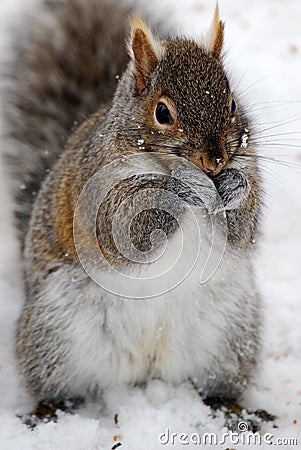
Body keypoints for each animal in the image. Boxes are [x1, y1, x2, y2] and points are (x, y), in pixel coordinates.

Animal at [1, 0, 262, 408]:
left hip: (231, 334)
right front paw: (182, 186)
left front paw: (235, 186)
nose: (215, 161)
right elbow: (121, 231)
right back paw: (50, 409)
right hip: (55, 330)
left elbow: (241, 230)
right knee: (54, 385)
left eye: (233, 103)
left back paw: (230, 405)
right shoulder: (94, 193)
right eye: (163, 112)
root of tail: (146, 366)